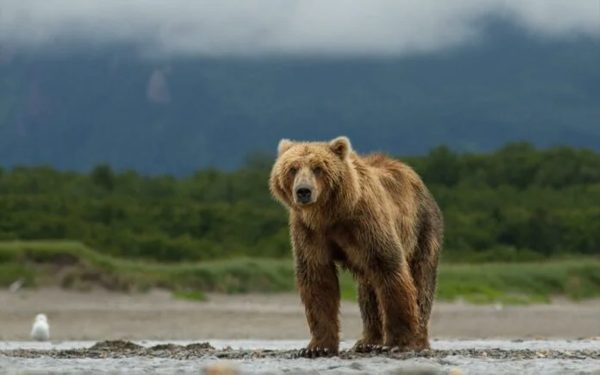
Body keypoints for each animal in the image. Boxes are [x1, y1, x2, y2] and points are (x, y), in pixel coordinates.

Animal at [270, 136, 442, 358]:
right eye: (292, 168)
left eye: (318, 168)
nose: (303, 191)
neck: (329, 215)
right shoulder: (308, 232)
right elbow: (318, 280)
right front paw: (317, 347)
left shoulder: (366, 223)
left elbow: (389, 269)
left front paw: (399, 342)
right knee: (368, 294)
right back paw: (368, 342)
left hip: (422, 230)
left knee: (421, 282)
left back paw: (418, 340)